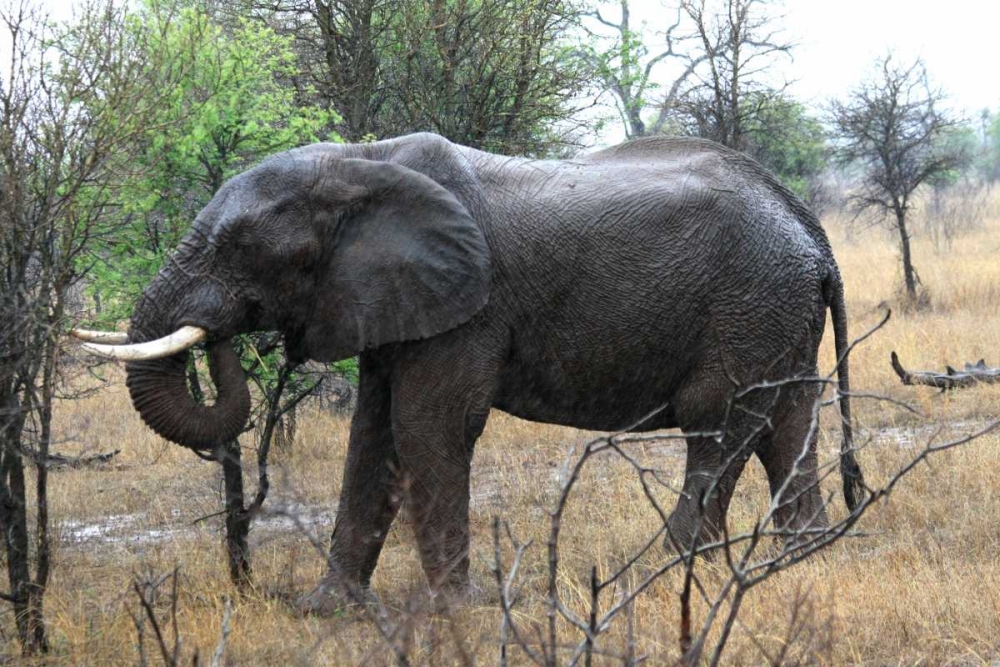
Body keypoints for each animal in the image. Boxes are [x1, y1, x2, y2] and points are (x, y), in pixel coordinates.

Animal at [75, 132, 865, 614]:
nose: (227, 336)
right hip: (776, 309)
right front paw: (328, 610)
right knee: (787, 425)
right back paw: (804, 557)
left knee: (719, 423)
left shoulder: (468, 308)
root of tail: (811, 229)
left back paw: (670, 569)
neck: (364, 159)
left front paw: (447, 611)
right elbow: (372, 435)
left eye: (241, 248)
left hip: (748, 301)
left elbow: (431, 426)